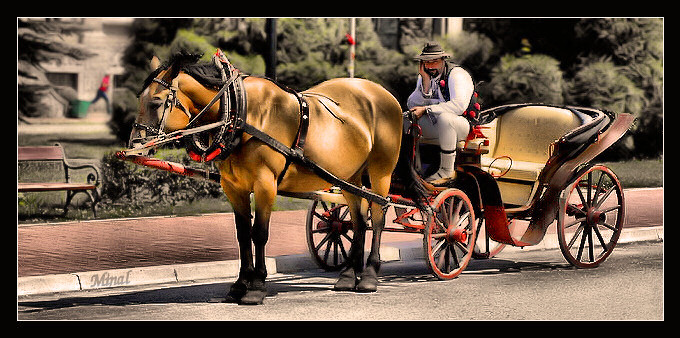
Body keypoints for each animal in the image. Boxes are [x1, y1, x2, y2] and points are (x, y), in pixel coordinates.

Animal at [127, 51, 424, 304]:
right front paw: (239, 285)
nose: (134, 145)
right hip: (349, 176)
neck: (240, 112)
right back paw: (349, 274)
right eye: (139, 99)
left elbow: (259, 234)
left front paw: (256, 286)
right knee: (359, 222)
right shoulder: (233, 187)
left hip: (380, 170)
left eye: (155, 102)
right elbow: (242, 235)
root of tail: (386, 96)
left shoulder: (265, 184)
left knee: (378, 217)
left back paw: (370, 275)